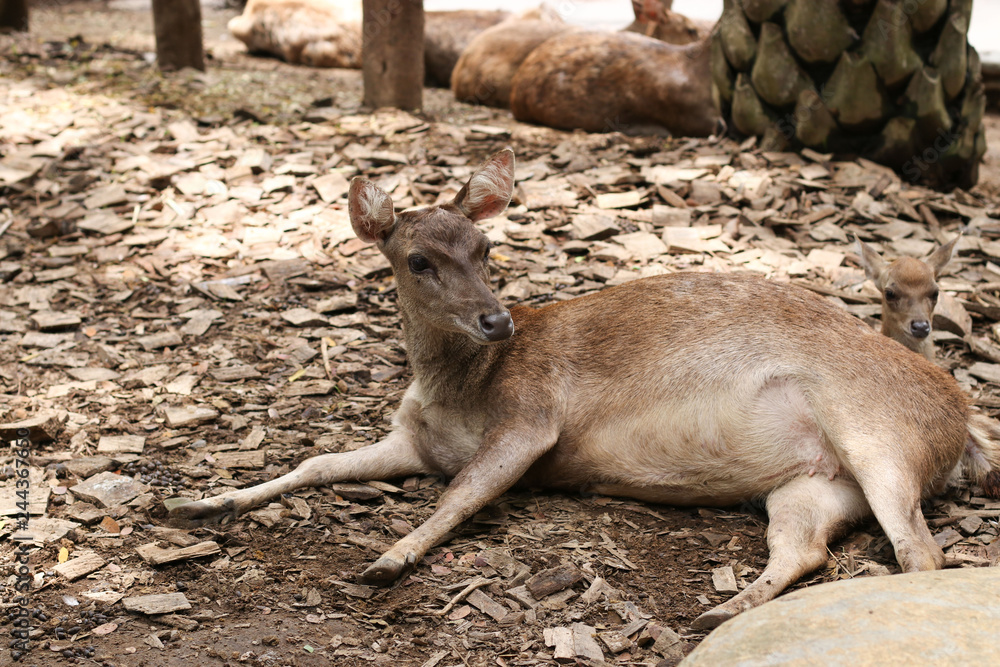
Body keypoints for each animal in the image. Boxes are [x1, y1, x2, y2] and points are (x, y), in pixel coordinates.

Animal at [170, 149, 1000, 630]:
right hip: (814, 483)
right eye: (417, 260)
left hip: (878, 433)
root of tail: (962, 429)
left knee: (921, 550)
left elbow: (460, 495)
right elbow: (315, 462)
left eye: (486, 246)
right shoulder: (412, 440)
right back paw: (715, 612)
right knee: (807, 549)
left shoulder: (533, 418)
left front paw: (388, 558)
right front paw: (199, 502)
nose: (496, 319)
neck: (457, 388)